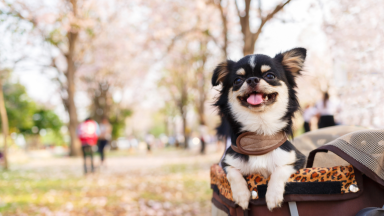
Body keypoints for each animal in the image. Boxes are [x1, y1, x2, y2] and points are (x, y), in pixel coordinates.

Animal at [212, 47, 308, 211]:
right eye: (238, 80)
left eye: (270, 76)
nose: (252, 79)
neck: (259, 134)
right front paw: (242, 196)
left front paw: (272, 196)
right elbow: (233, 173)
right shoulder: (226, 163)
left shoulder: (297, 160)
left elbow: (280, 169)